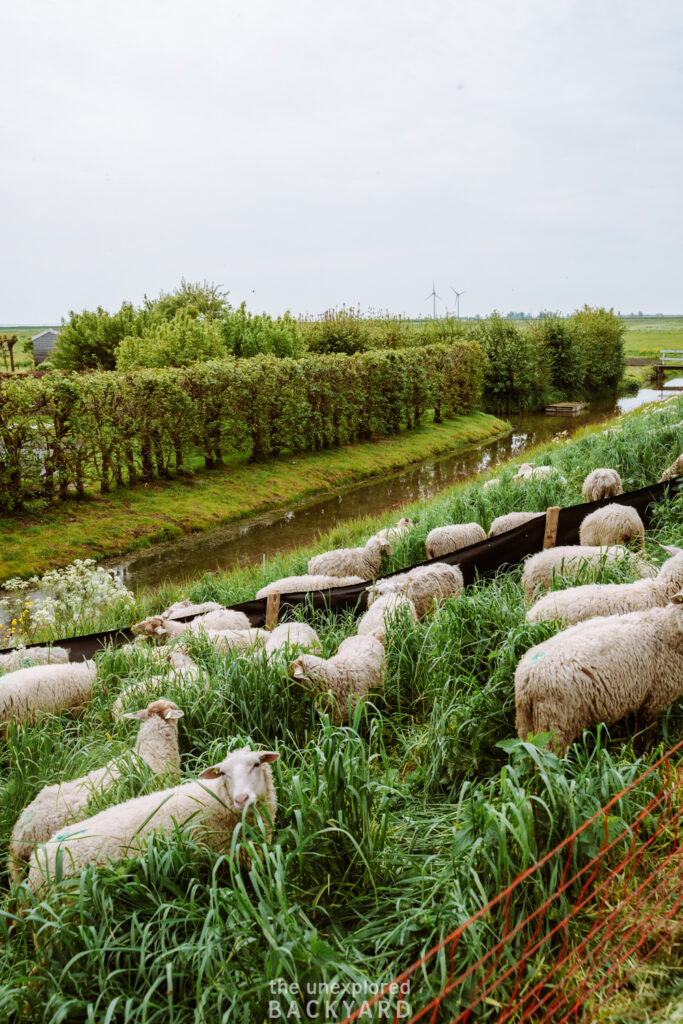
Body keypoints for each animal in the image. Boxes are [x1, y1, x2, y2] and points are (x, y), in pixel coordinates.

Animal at [516, 593, 683, 753]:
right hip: (555, 723)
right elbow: (645, 733)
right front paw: (643, 755)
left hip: (527, 722)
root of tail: (526, 680)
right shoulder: (655, 698)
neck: (664, 629)